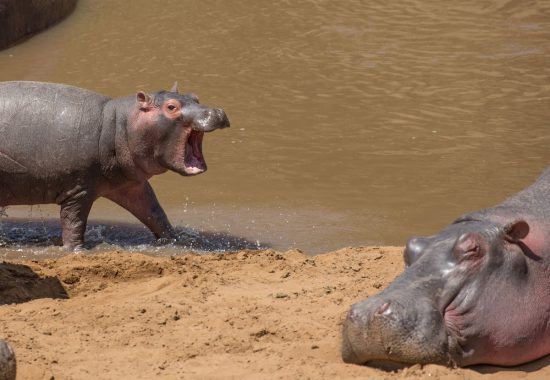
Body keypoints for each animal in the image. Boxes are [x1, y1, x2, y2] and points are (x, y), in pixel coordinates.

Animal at [0, 81, 230, 249]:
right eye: (171, 106)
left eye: (195, 96)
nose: (217, 112)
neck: (121, 126)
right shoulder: (78, 191)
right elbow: (74, 224)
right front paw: (77, 250)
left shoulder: (131, 186)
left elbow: (155, 213)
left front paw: (174, 240)